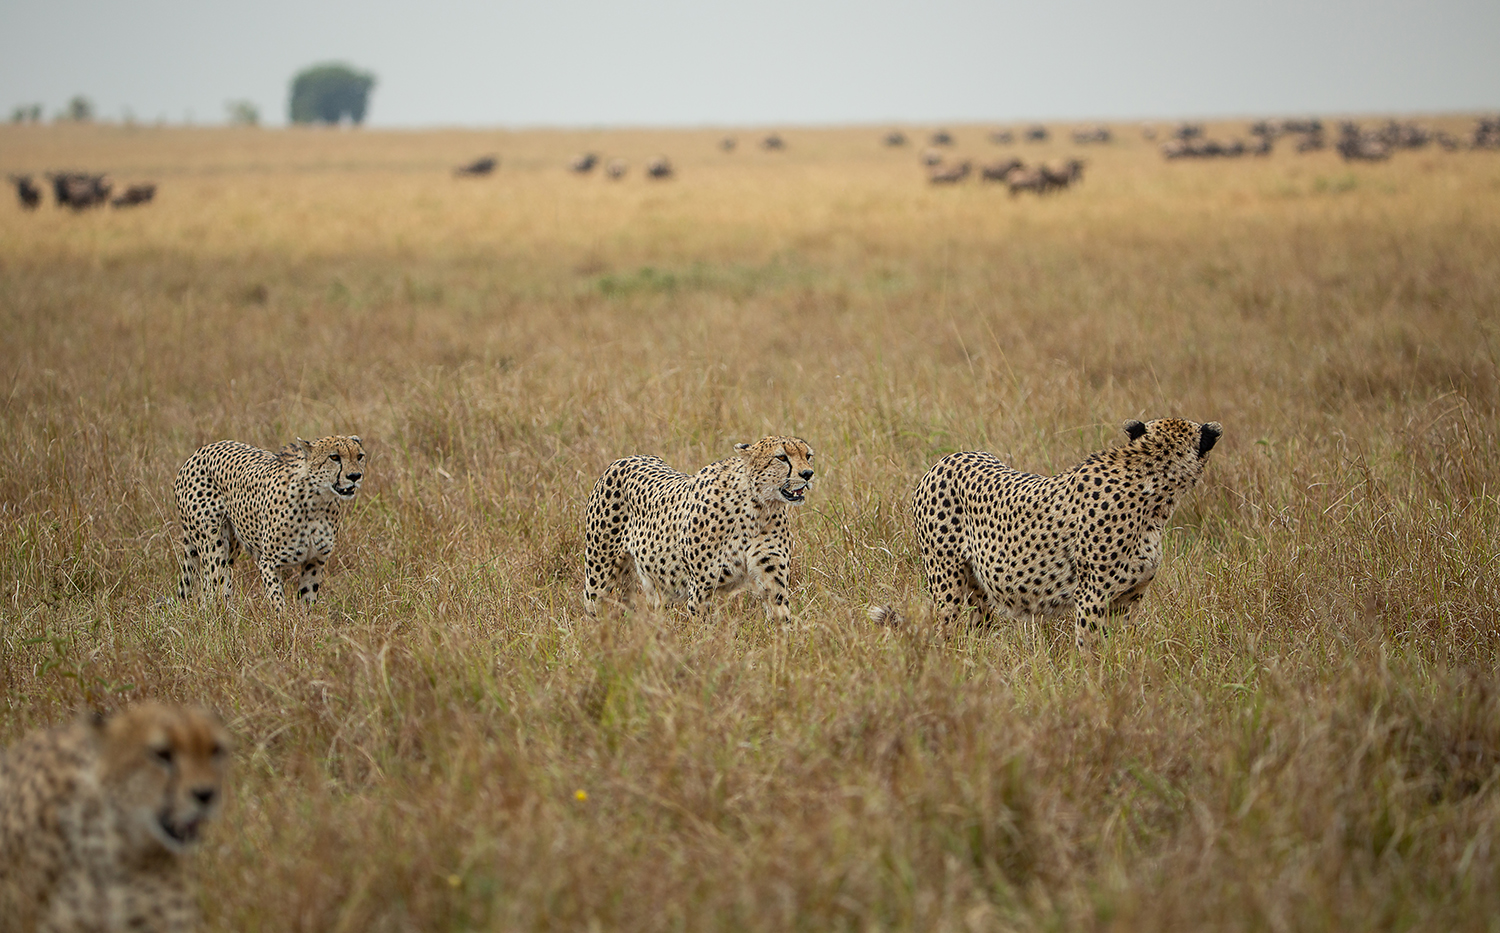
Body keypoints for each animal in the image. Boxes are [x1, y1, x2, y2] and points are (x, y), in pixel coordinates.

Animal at [171, 435, 366, 612]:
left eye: (359, 456)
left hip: (231, 545)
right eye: (334, 457)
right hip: (213, 545)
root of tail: (201, 450)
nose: (355, 476)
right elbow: (277, 601)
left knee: (209, 586)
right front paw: (284, 625)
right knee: (216, 585)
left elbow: (307, 600)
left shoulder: (315, 560)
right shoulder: (269, 562)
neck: (318, 502)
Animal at [585, 438, 822, 621]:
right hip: (599, 573)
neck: (759, 508)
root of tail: (628, 457)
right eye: (781, 457)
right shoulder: (700, 589)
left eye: (808, 455)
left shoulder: (773, 582)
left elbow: (782, 620)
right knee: (593, 607)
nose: (808, 473)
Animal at [882, 423, 1224, 651]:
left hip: (977, 591)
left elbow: (1123, 646)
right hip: (947, 583)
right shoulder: (1092, 595)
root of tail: (948, 458)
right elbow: (1090, 648)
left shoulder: (1130, 597)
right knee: (945, 631)